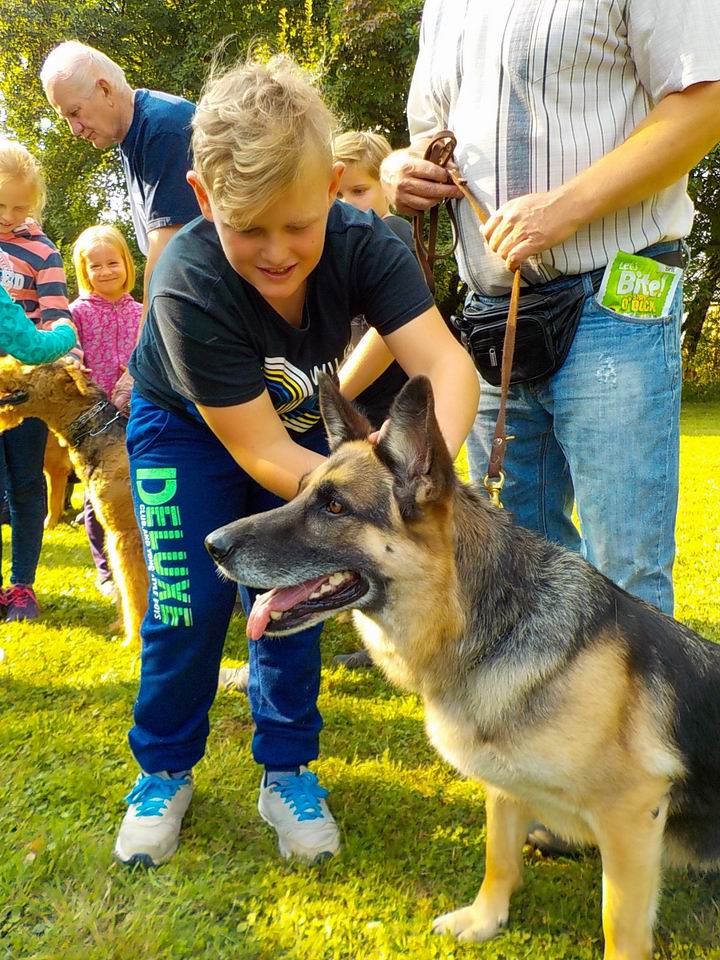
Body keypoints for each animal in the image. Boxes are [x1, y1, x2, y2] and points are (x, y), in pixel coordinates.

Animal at [0, 360, 146, 652]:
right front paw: (122, 627)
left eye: (28, 365)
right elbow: (125, 590)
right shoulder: (115, 537)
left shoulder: (127, 536)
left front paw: (134, 640)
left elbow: (135, 591)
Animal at [207, 376, 720, 960]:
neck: (494, 626)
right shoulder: (505, 786)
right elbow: (500, 859)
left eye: (334, 506)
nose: (211, 545)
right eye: (299, 490)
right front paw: (485, 920)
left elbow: (621, 925)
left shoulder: (632, 814)